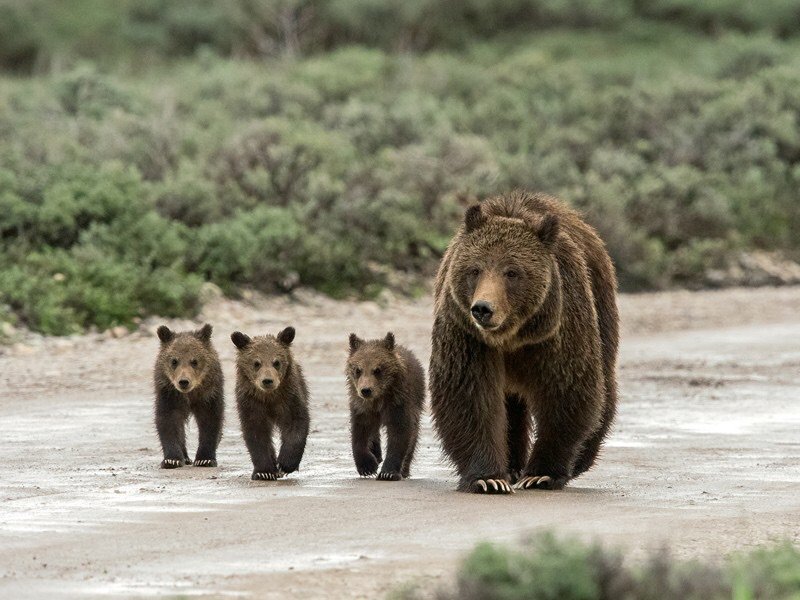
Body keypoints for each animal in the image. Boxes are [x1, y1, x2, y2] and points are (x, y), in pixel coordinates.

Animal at [154, 323, 225, 469]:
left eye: (194, 361)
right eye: (174, 361)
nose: (184, 381)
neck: (190, 394)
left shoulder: (209, 394)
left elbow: (210, 420)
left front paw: (205, 459)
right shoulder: (169, 393)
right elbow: (168, 420)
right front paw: (172, 460)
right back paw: (185, 457)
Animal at [231, 327, 310, 481]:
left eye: (276, 362)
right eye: (256, 363)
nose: (267, 380)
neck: (269, 397)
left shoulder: (289, 398)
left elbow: (296, 424)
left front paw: (285, 464)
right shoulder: (251, 403)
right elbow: (256, 433)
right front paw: (264, 471)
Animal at [346, 332, 425, 481]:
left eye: (377, 369)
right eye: (358, 370)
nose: (366, 390)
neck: (378, 398)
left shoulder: (398, 403)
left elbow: (399, 432)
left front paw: (388, 473)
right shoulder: (362, 406)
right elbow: (360, 431)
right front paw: (367, 466)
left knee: (414, 434)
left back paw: (404, 469)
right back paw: (377, 454)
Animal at [429, 191, 619, 494]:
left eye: (512, 272)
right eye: (475, 269)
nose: (482, 308)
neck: (512, 336)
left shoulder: (557, 330)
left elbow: (566, 391)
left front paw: (542, 474)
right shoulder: (467, 334)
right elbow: (469, 396)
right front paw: (488, 478)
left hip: (601, 306)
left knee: (604, 383)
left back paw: (581, 459)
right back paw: (512, 466)